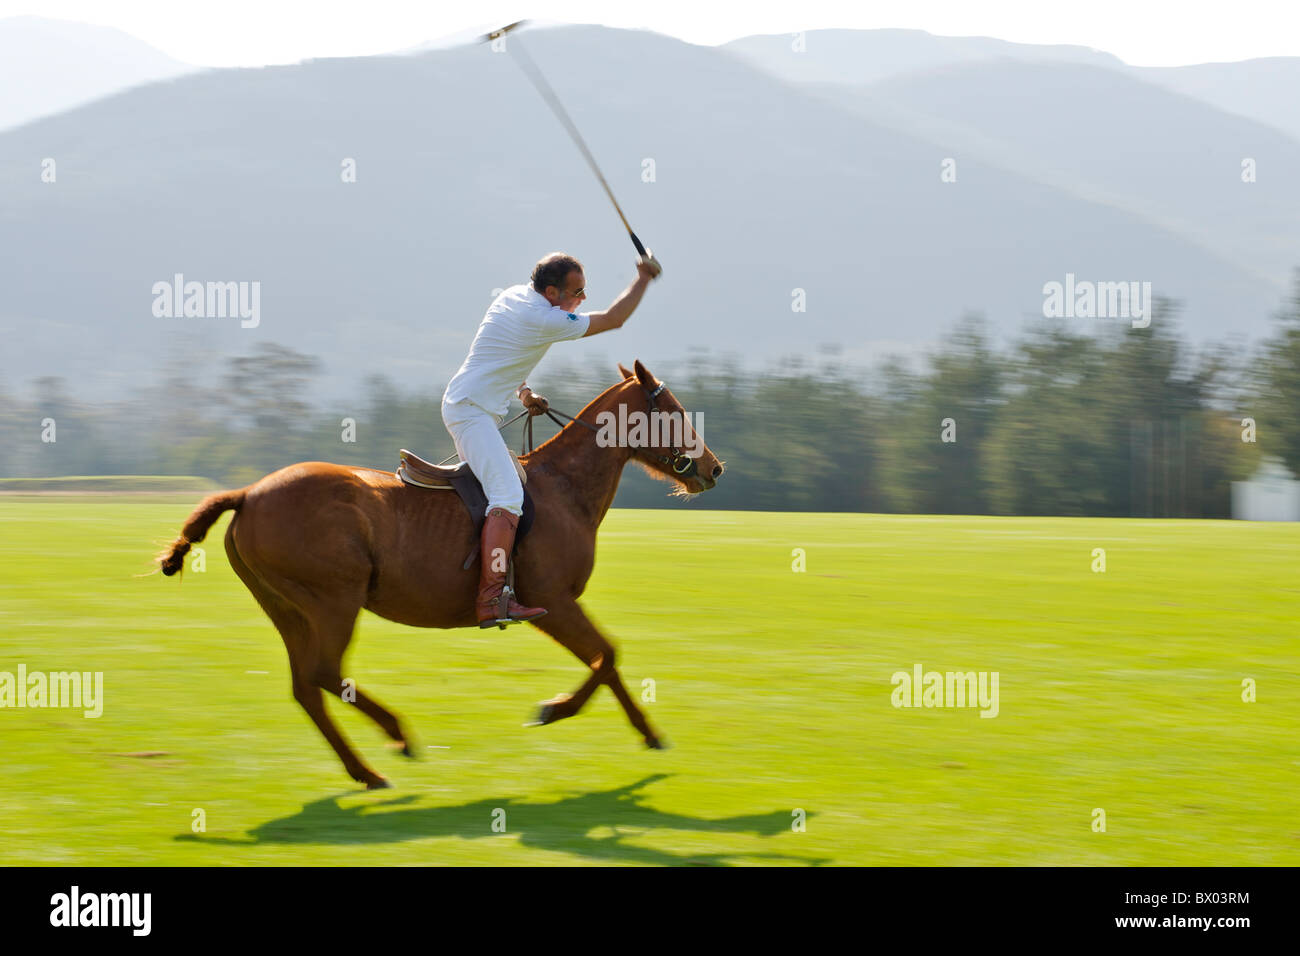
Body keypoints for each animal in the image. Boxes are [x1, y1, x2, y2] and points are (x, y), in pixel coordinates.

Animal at [158, 361, 728, 790]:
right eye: (673, 411)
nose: (713, 469)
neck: (564, 490)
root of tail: (248, 495)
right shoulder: (551, 601)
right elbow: (606, 655)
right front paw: (556, 710)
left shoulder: (558, 604)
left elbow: (606, 658)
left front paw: (646, 733)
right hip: (333, 601)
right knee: (322, 673)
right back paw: (395, 737)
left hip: (287, 608)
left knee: (306, 686)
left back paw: (365, 771)